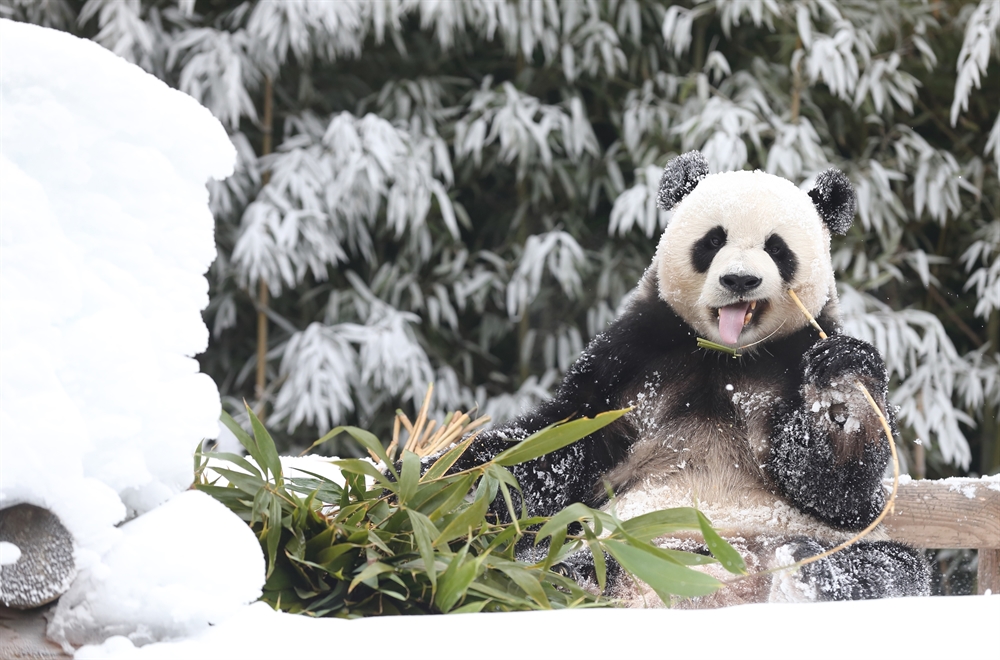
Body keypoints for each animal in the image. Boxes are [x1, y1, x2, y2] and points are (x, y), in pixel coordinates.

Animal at [452, 152, 928, 604]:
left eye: (777, 248)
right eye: (713, 240)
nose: (740, 279)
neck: (727, 354)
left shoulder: (795, 353)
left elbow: (830, 486)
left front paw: (842, 391)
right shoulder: (635, 355)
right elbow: (560, 443)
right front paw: (457, 476)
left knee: (882, 566)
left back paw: (807, 573)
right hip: (598, 535)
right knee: (541, 562)